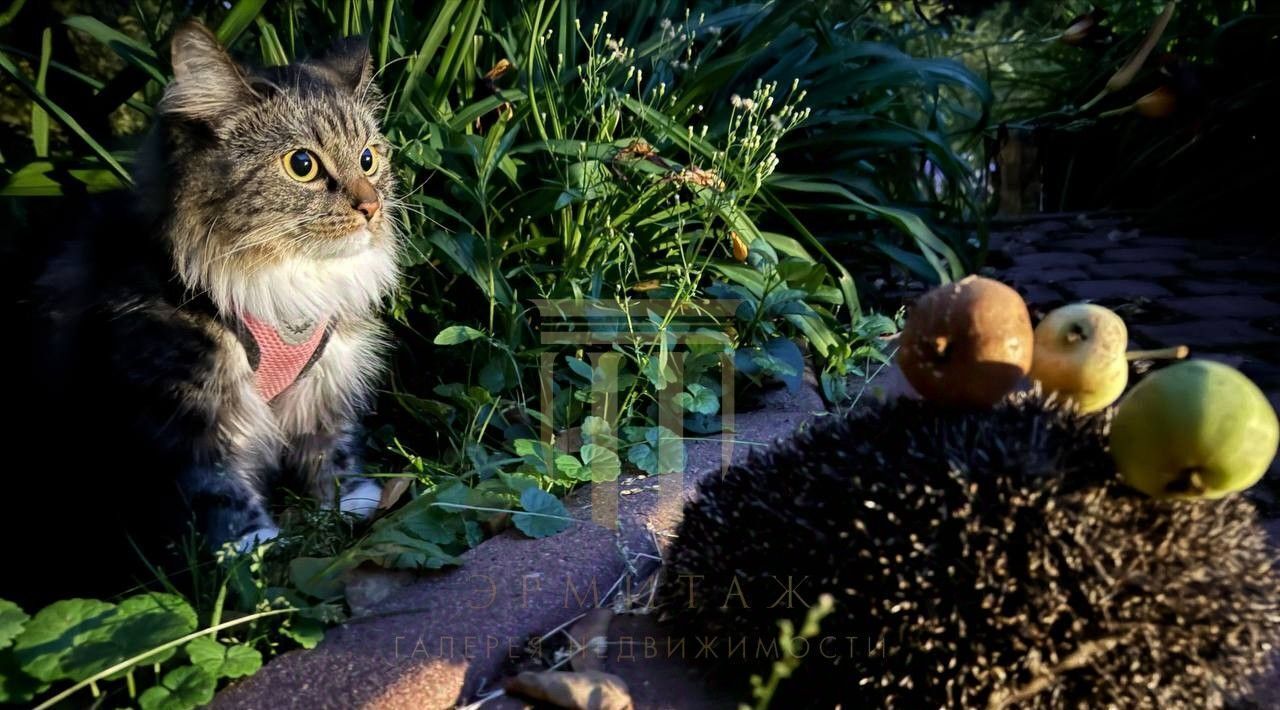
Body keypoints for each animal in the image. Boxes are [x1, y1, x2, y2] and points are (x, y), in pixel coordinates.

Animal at [28, 19, 399, 557]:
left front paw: (349, 504)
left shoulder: (325, 380)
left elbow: (332, 447)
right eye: (302, 165)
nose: (371, 207)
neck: (285, 291)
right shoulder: (184, 403)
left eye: (369, 159)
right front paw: (254, 547)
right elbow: (217, 485)